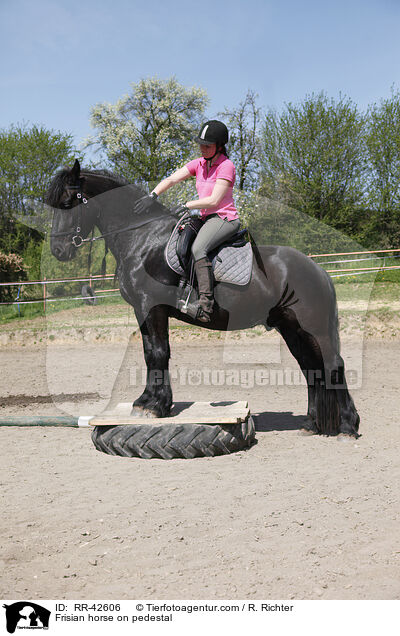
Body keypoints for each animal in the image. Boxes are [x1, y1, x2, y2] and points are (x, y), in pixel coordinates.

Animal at [47, 160, 360, 438]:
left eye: (68, 203)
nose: (58, 251)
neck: (142, 239)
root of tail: (317, 269)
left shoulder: (152, 307)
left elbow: (158, 353)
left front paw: (155, 406)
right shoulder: (142, 310)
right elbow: (151, 353)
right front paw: (149, 402)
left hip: (313, 327)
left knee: (333, 365)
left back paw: (347, 427)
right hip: (290, 327)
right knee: (311, 369)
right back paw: (311, 424)